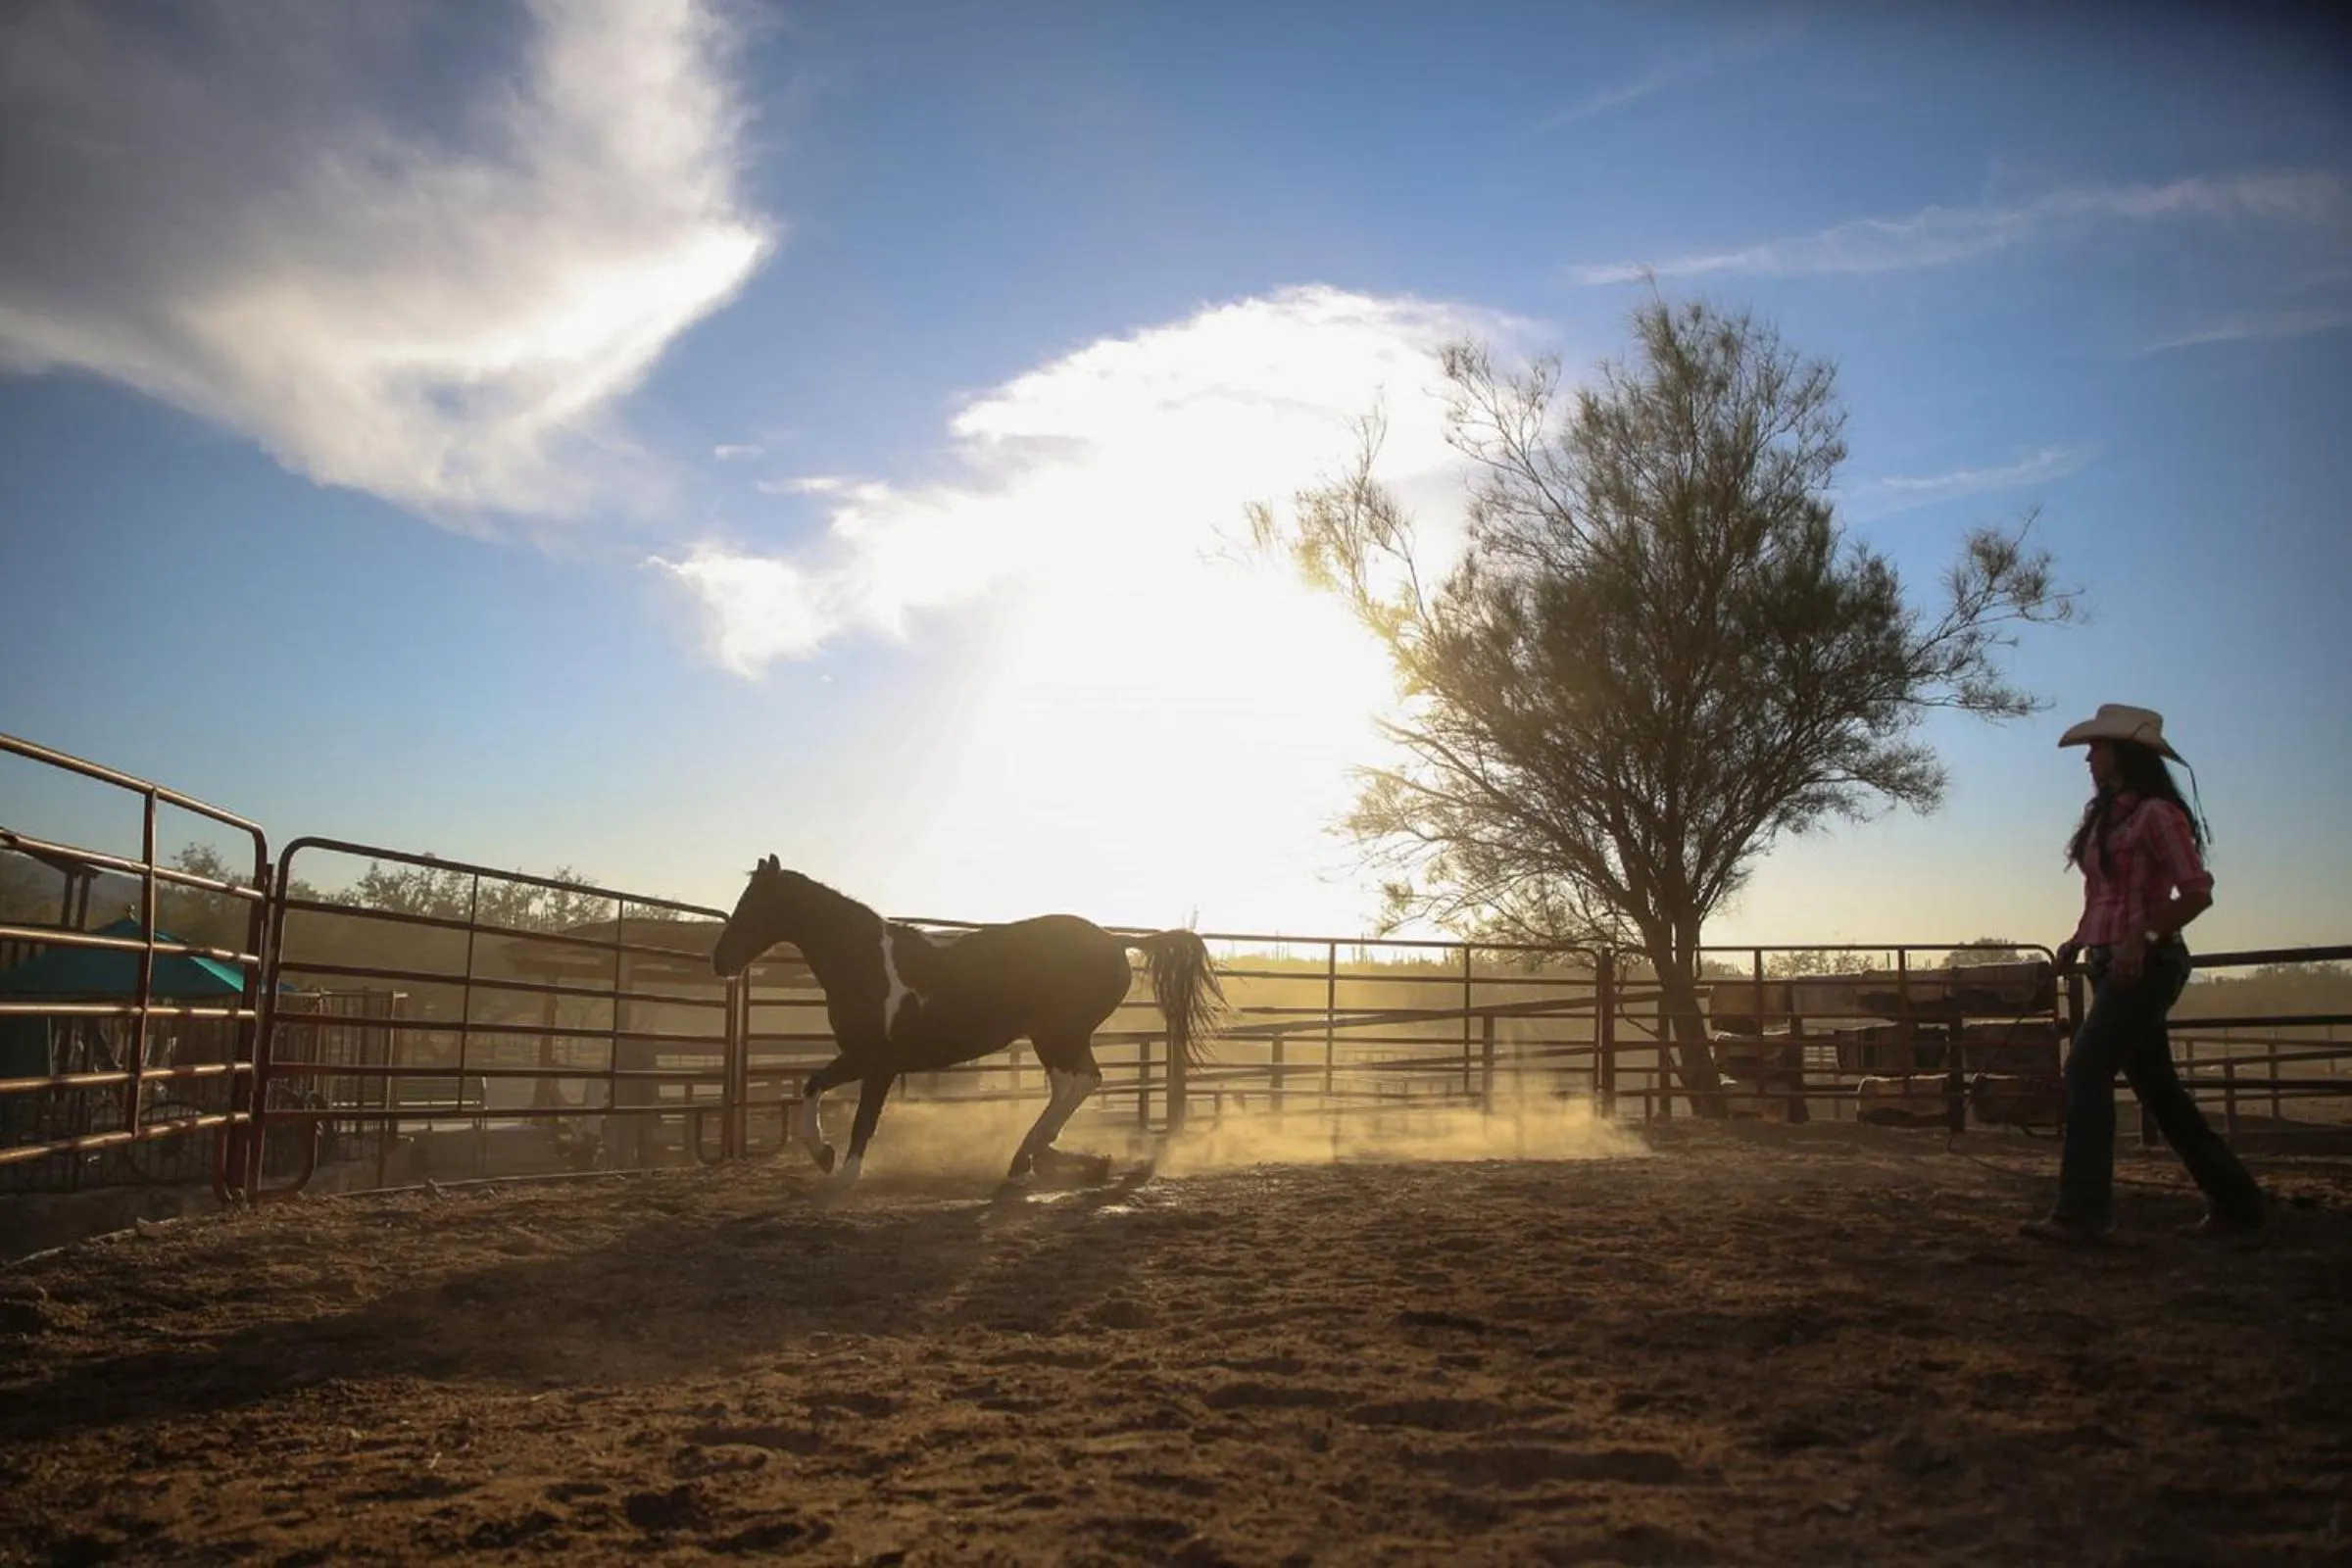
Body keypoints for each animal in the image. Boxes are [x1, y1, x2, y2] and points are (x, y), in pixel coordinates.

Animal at [711, 857, 1225, 1184]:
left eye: (755, 905)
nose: (720, 960)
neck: (868, 963)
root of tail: (1118, 943)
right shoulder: (858, 1055)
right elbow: (812, 1086)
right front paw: (822, 1155)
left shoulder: (881, 1064)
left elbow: (863, 1122)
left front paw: (845, 1177)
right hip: (1058, 1036)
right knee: (1075, 1083)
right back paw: (1037, 1157)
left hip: (1058, 1033)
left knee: (1078, 1082)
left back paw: (1032, 1156)